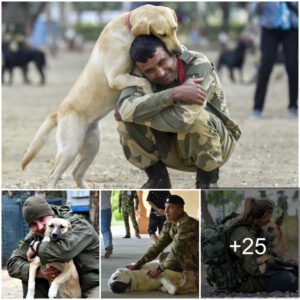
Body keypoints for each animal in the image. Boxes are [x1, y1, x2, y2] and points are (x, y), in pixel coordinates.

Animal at [21, 5, 182, 188]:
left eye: (174, 28)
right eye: (162, 34)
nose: (178, 52)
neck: (127, 28)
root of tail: (59, 113)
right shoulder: (116, 78)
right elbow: (144, 81)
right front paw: (149, 93)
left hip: (92, 145)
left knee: (76, 173)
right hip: (70, 148)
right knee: (53, 174)